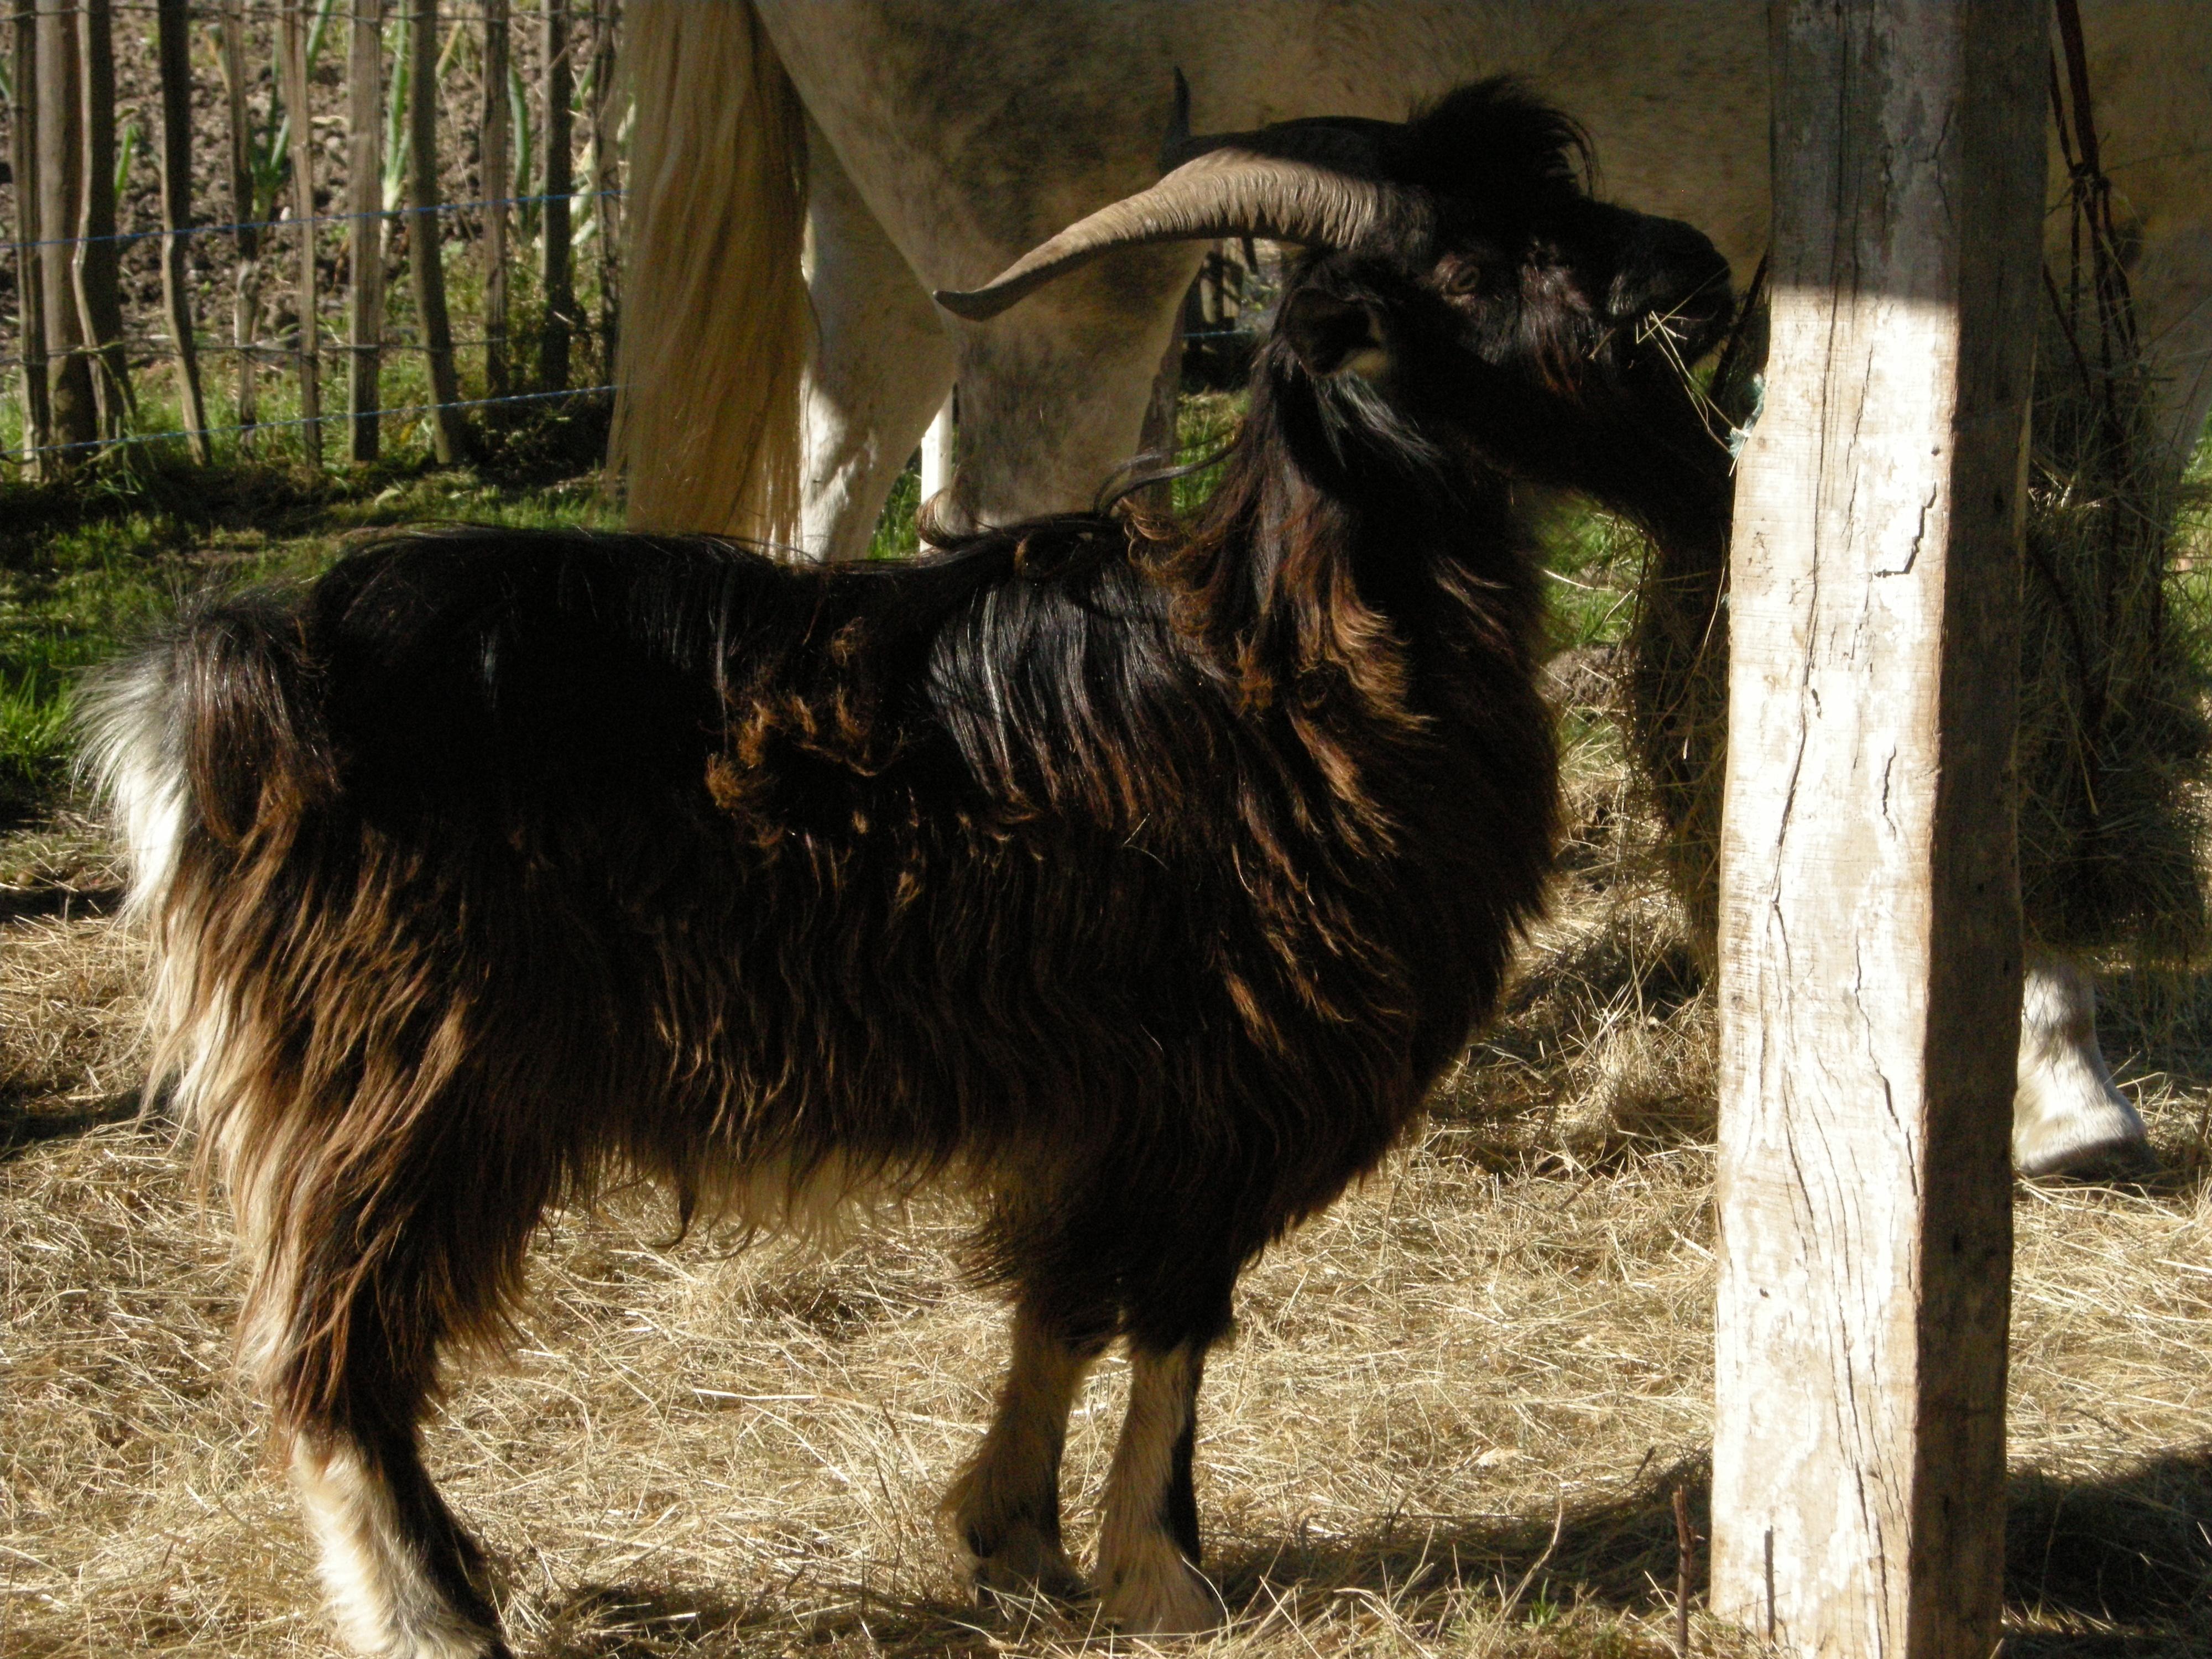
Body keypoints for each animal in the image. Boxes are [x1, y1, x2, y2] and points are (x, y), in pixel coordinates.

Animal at [88, 81, 1735, 1657]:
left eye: (1559, 195)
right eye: (1461, 264)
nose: (1696, 268)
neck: (1285, 651)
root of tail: (221, 683)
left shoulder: (1117, 1101)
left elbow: (1061, 1300)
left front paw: (1015, 1537)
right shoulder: (1225, 1080)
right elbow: (1174, 1318)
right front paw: (1166, 1573)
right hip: (397, 1080)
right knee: (325, 1353)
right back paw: (430, 1614)